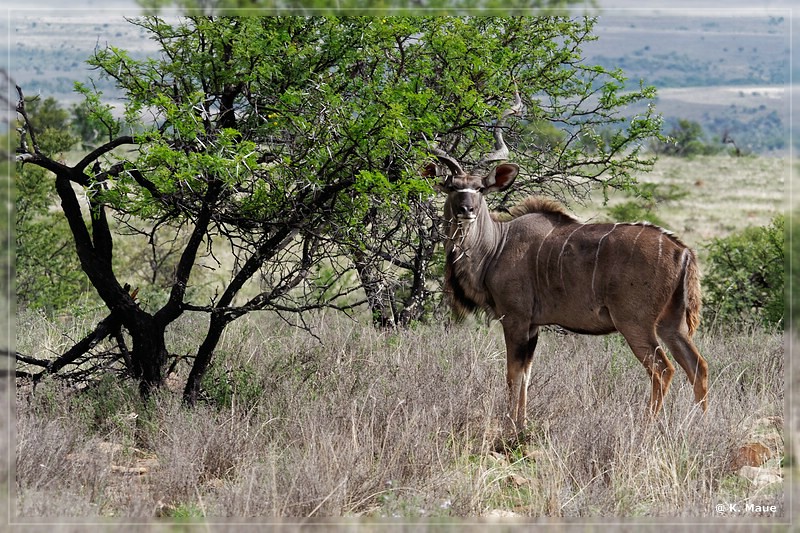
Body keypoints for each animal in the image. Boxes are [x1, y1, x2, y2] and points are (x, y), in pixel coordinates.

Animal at [434, 105, 708, 432]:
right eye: (453, 187)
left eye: (479, 189)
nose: (467, 210)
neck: (496, 247)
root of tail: (683, 251)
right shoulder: (533, 325)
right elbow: (525, 374)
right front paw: (522, 425)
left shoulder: (515, 319)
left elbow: (513, 375)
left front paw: (512, 428)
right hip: (671, 324)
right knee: (698, 366)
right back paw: (703, 425)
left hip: (636, 323)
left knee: (663, 369)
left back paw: (646, 427)